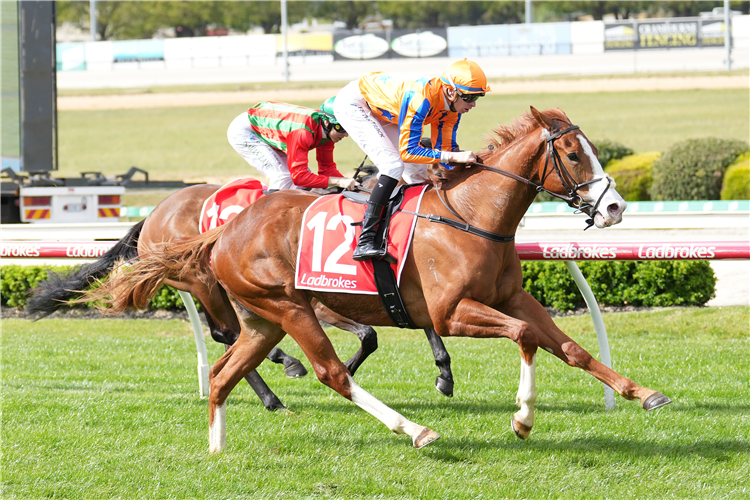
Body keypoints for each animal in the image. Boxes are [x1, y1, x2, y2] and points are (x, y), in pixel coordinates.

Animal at [89, 107, 676, 452]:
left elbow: (570, 346)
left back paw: (219, 446)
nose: (616, 208)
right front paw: (523, 418)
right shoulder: (450, 312)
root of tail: (227, 228)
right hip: (290, 307)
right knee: (328, 372)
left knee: (222, 371)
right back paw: (413, 429)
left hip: (264, 317)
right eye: (574, 153)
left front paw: (644, 393)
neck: (471, 214)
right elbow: (526, 336)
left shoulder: (510, 295)